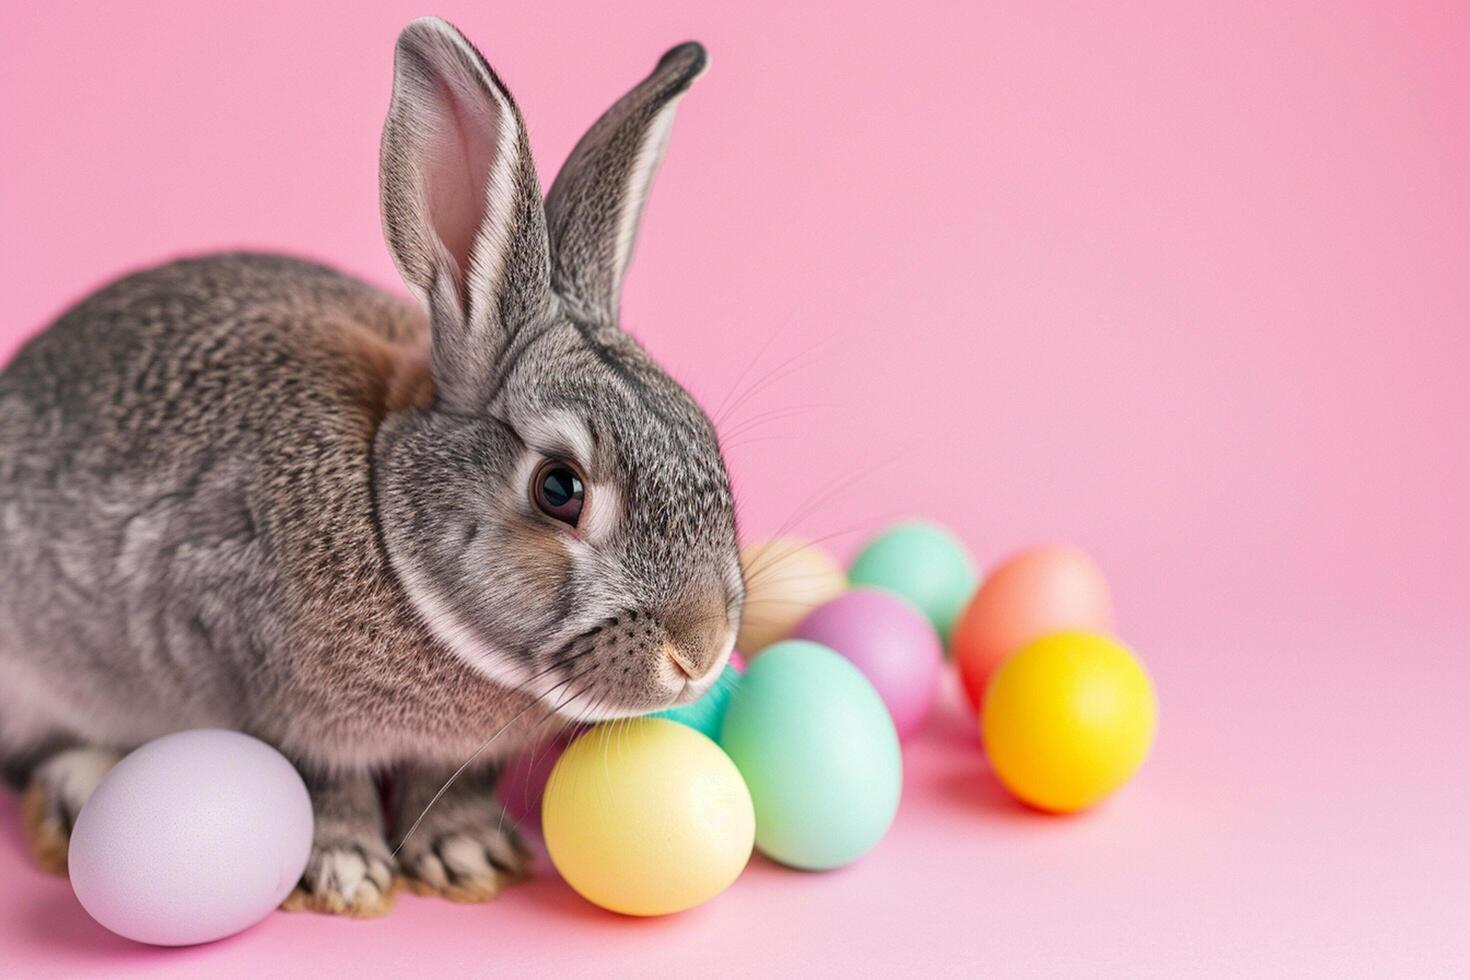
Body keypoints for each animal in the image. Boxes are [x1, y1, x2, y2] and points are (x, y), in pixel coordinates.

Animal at [0, 17, 740, 922]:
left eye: (702, 434)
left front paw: (465, 853)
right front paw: (345, 870)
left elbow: (446, 786)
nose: (701, 650)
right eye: (559, 489)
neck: (390, 514)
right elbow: (321, 781)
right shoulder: (247, 671)